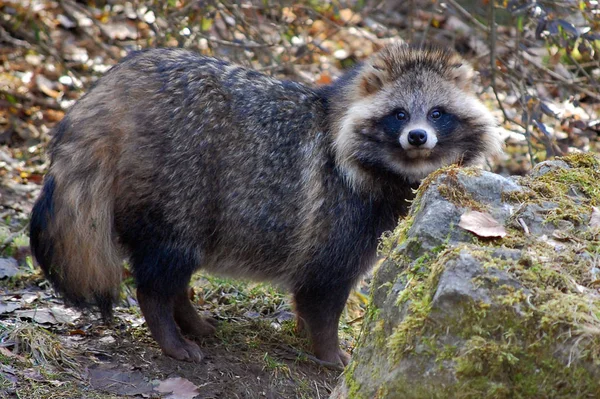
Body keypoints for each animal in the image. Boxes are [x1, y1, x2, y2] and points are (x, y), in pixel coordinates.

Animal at [28, 43, 500, 366]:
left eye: (437, 113)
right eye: (400, 114)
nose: (417, 137)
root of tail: (117, 87)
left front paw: (304, 336)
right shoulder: (337, 221)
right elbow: (322, 298)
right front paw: (329, 352)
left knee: (175, 271)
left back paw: (190, 320)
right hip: (178, 188)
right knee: (158, 277)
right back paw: (170, 333)